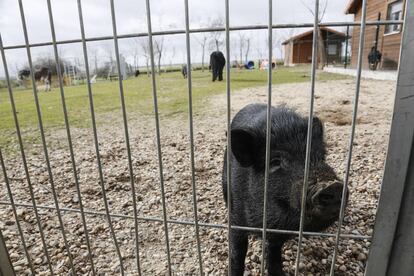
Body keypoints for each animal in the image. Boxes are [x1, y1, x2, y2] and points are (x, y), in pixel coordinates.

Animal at [223, 104, 346, 276]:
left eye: (321, 157)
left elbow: (274, 251)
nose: (332, 185)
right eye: (275, 162)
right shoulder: (236, 220)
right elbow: (237, 253)